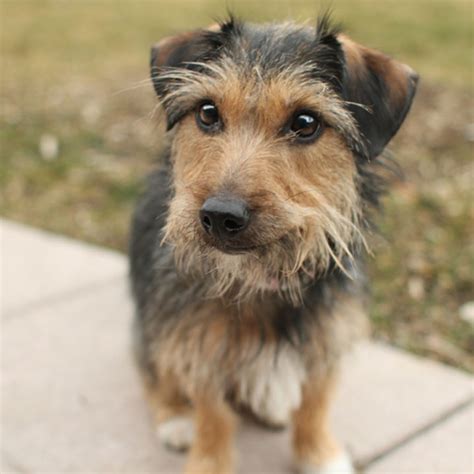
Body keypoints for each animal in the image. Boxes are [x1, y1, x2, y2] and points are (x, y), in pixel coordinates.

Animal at [129, 14, 418, 474]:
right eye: (207, 113)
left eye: (305, 123)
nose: (220, 215)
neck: (260, 274)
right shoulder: (195, 338)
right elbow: (212, 412)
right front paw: (208, 458)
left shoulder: (327, 333)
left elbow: (316, 402)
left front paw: (320, 456)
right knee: (155, 373)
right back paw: (175, 418)